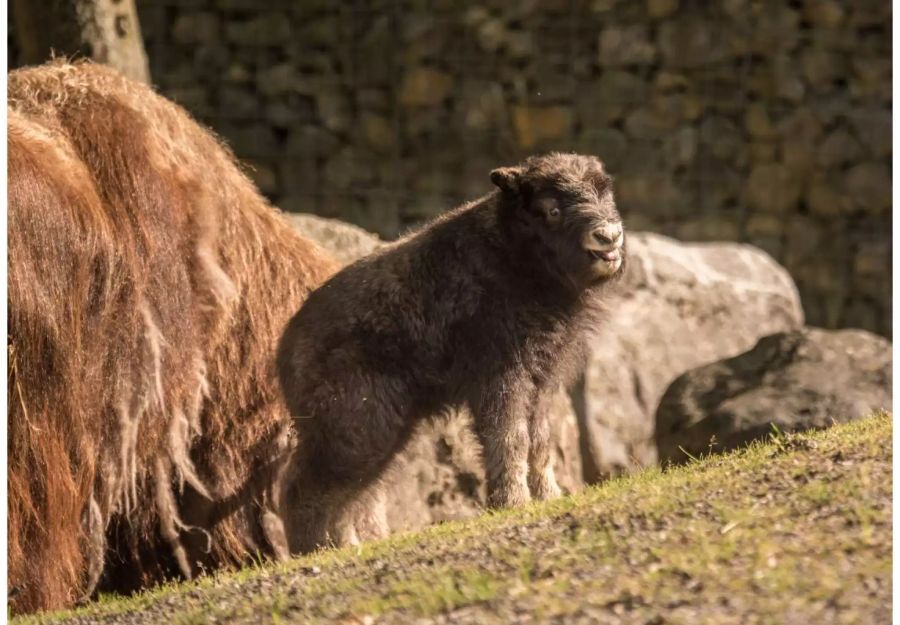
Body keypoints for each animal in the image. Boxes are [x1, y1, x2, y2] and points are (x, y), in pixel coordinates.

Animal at [276, 154, 624, 548]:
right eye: (550, 208)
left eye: (604, 190)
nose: (608, 236)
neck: (513, 255)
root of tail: (285, 345)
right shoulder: (502, 379)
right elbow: (511, 437)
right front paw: (513, 503)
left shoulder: (542, 381)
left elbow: (539, 440)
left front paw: (548, 497)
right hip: (354, 431)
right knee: (303, 487)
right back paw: (318, 550)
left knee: (349, 496)